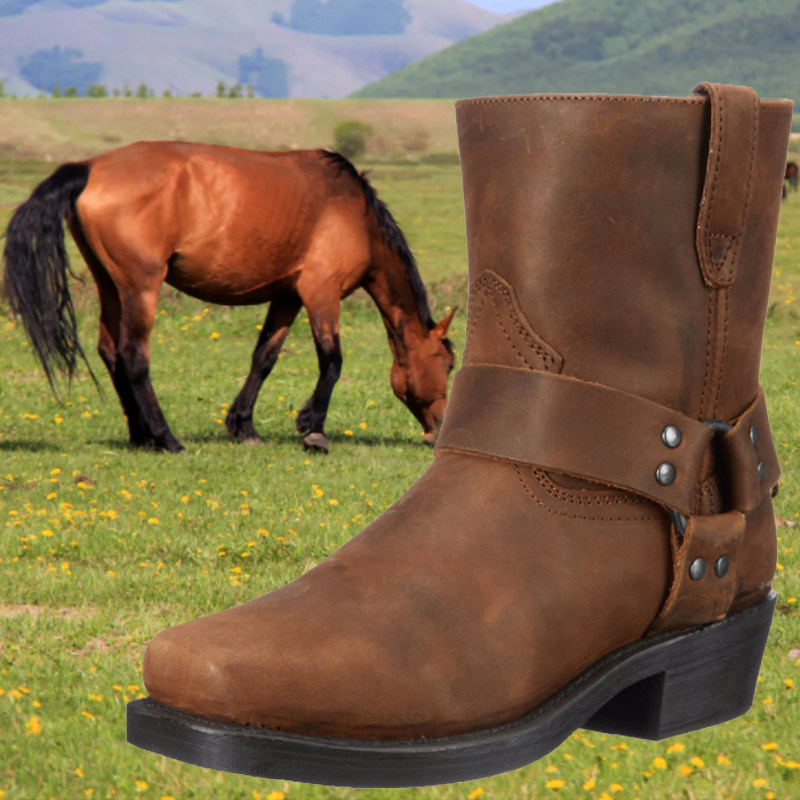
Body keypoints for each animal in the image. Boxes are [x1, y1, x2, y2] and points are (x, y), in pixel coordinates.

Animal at [3, 143, 455, 453]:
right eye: (449, 365)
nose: (438, 430)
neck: (353, 214)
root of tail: (90, 168)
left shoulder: (287, 296)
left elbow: (264, 359)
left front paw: (243, 426)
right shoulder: (321, 293)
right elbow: (332, 361)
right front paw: (313, 429)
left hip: (109, 283)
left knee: (110, 351)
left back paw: (140, 436)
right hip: (140, 285)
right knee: (133, 355)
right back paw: (165, 438)